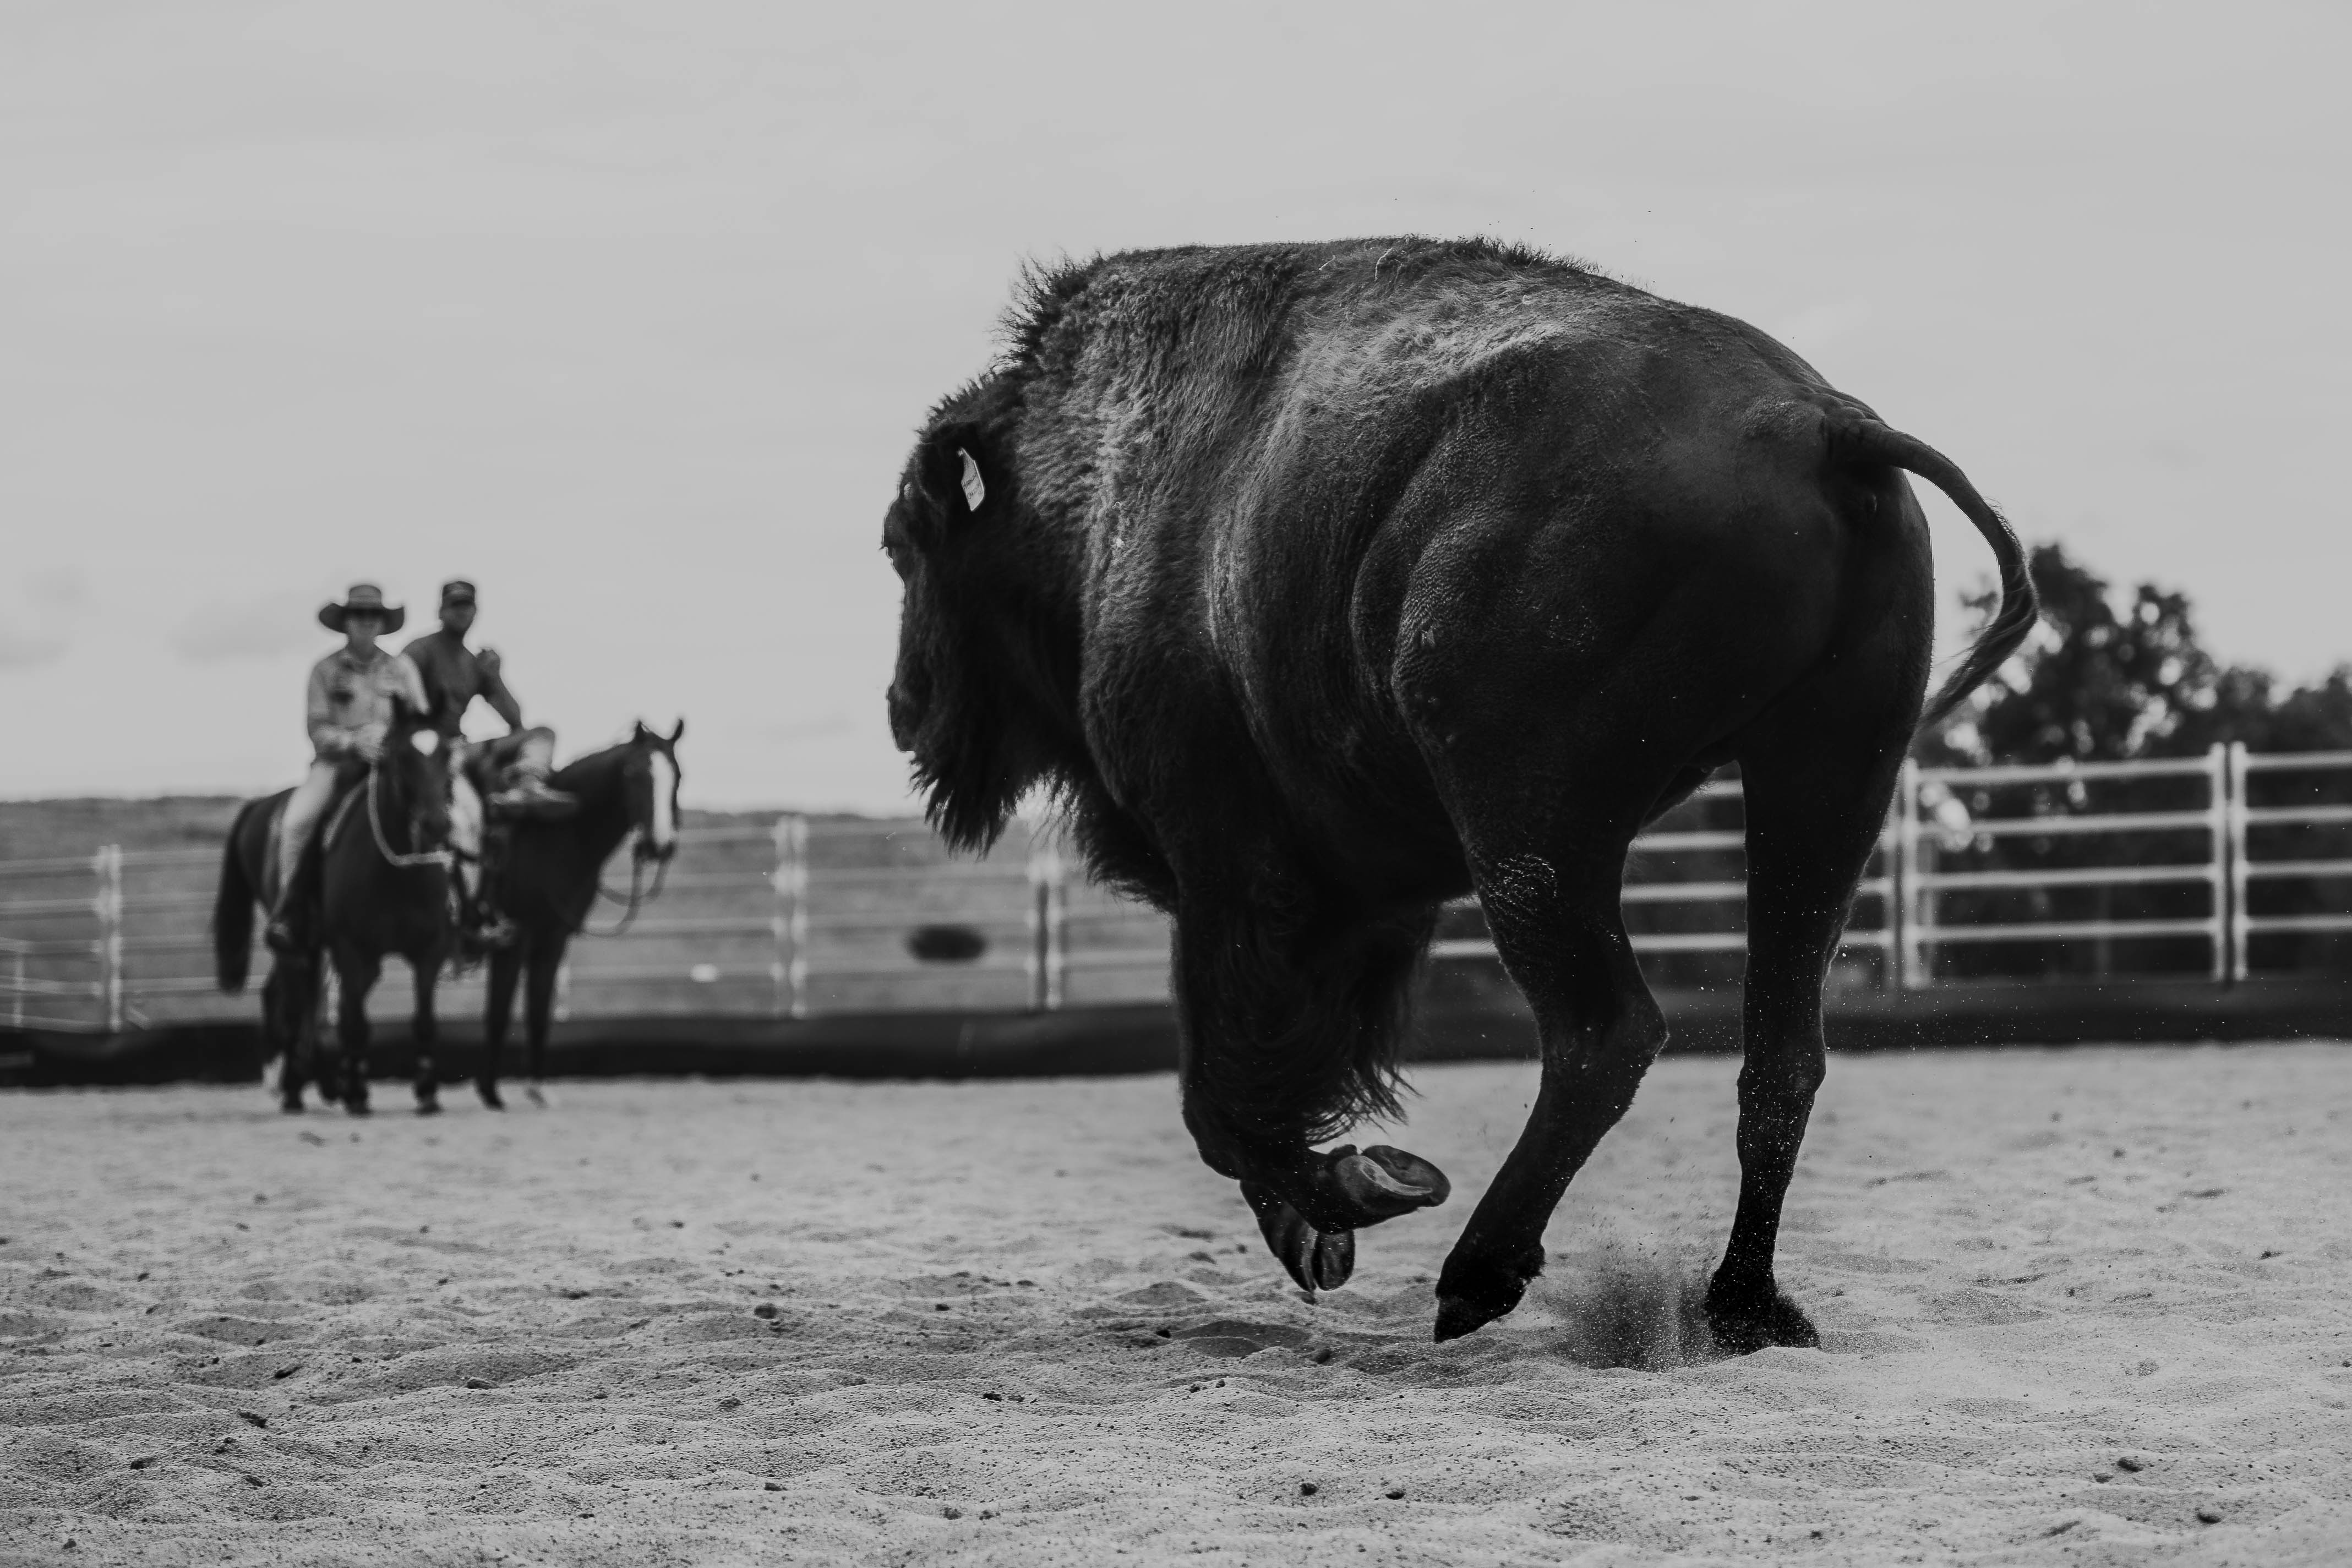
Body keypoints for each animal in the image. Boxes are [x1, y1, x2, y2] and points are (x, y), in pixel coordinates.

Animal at [881, 237, 2034, 1351]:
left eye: (904, 544)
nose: (901, 706)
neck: (1090, 477)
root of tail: (1820, 425)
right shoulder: (1362, 899)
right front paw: (1321, 1222)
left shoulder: (1226, 865)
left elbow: (1217, 1090)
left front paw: (1354, 1194)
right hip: (1824, 775)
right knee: (1780, 1052)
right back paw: (1740, 1306)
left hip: (1533, 823)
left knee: (1602, 1028)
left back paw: (1475, 1274)